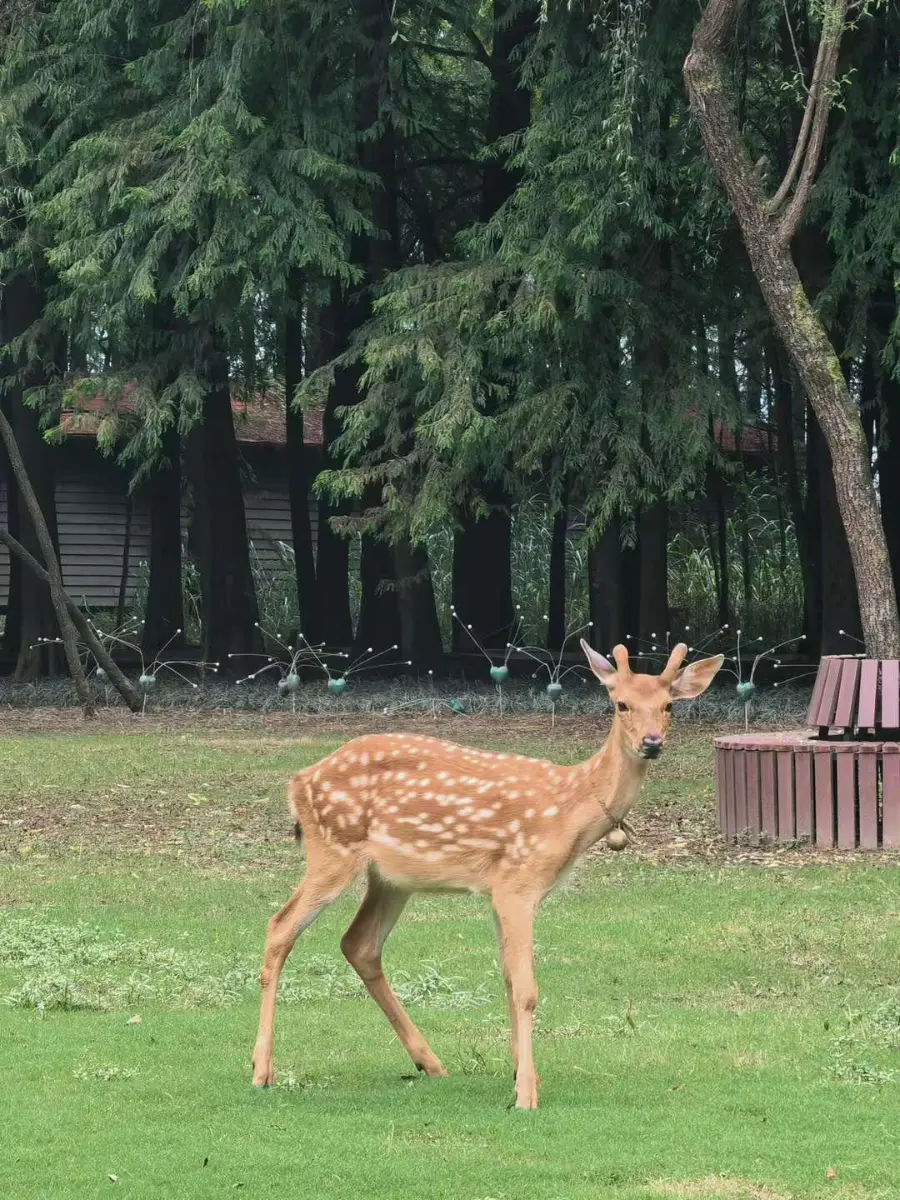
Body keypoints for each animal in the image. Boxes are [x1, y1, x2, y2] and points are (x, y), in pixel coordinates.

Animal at [251, 639, 723, 1109]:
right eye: (620, 703)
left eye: (669, 705)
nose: (652, 742)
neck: (570, 809)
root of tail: (297, 782)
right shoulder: (519, 882)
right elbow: (527, 989)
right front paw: (527, 1094)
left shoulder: (501, 889)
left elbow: (509, 980)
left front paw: (522, 1076)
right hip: (332, 850)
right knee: (280, 926)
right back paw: (261, 1070)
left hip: (390, 878)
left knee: (359, 944)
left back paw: (430, 1062)